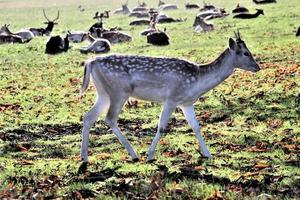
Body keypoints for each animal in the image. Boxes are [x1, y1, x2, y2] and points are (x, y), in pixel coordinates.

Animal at [79, 30, 260, 170]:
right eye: (246, 53)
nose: (257, 67)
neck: (198, 81)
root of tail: (91, 61)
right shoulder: (172, 98)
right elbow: (161, 127)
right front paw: (150, 156)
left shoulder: (186, 103)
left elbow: (196, 127)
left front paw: (208, 154)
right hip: (119, 91)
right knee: (109, 118)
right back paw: (134, 154)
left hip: (103, 93)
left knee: (88, 116)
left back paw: (84, 158)